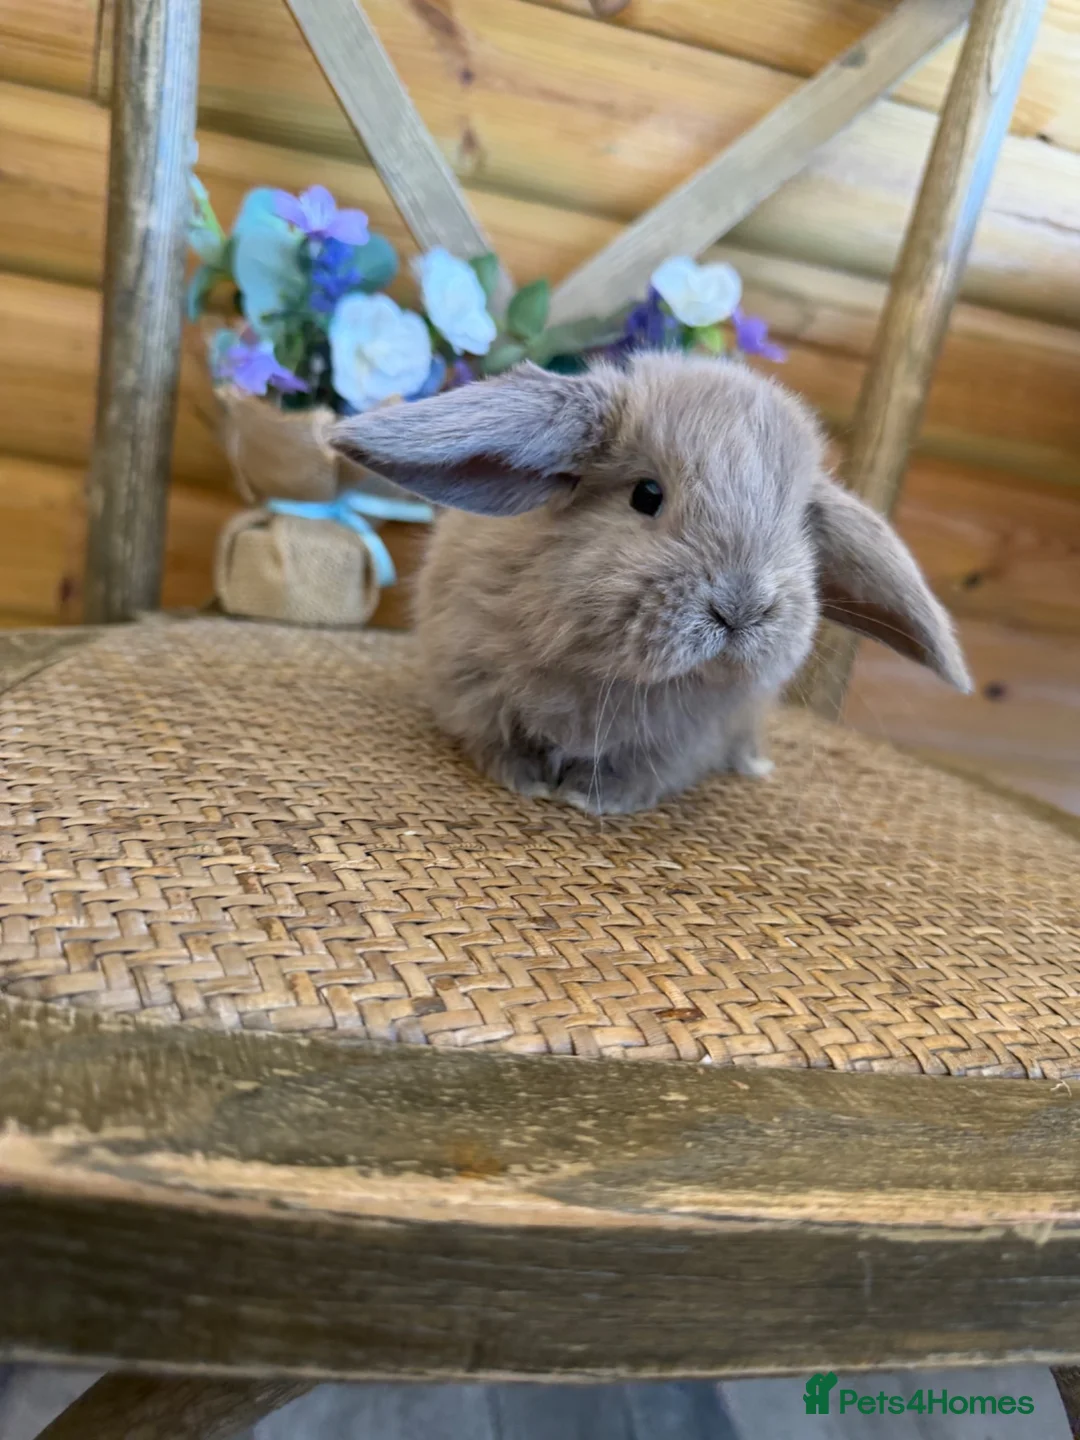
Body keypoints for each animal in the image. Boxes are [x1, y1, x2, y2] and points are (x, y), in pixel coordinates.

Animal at [331, 352, 971, 815]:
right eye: (646, 494)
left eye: (799, 529)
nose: (741, 608)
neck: (615, 674)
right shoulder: (473, 687)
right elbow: (501, 741)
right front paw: (529, 782)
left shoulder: (684, 742)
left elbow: (637, 772)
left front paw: (593, 797)